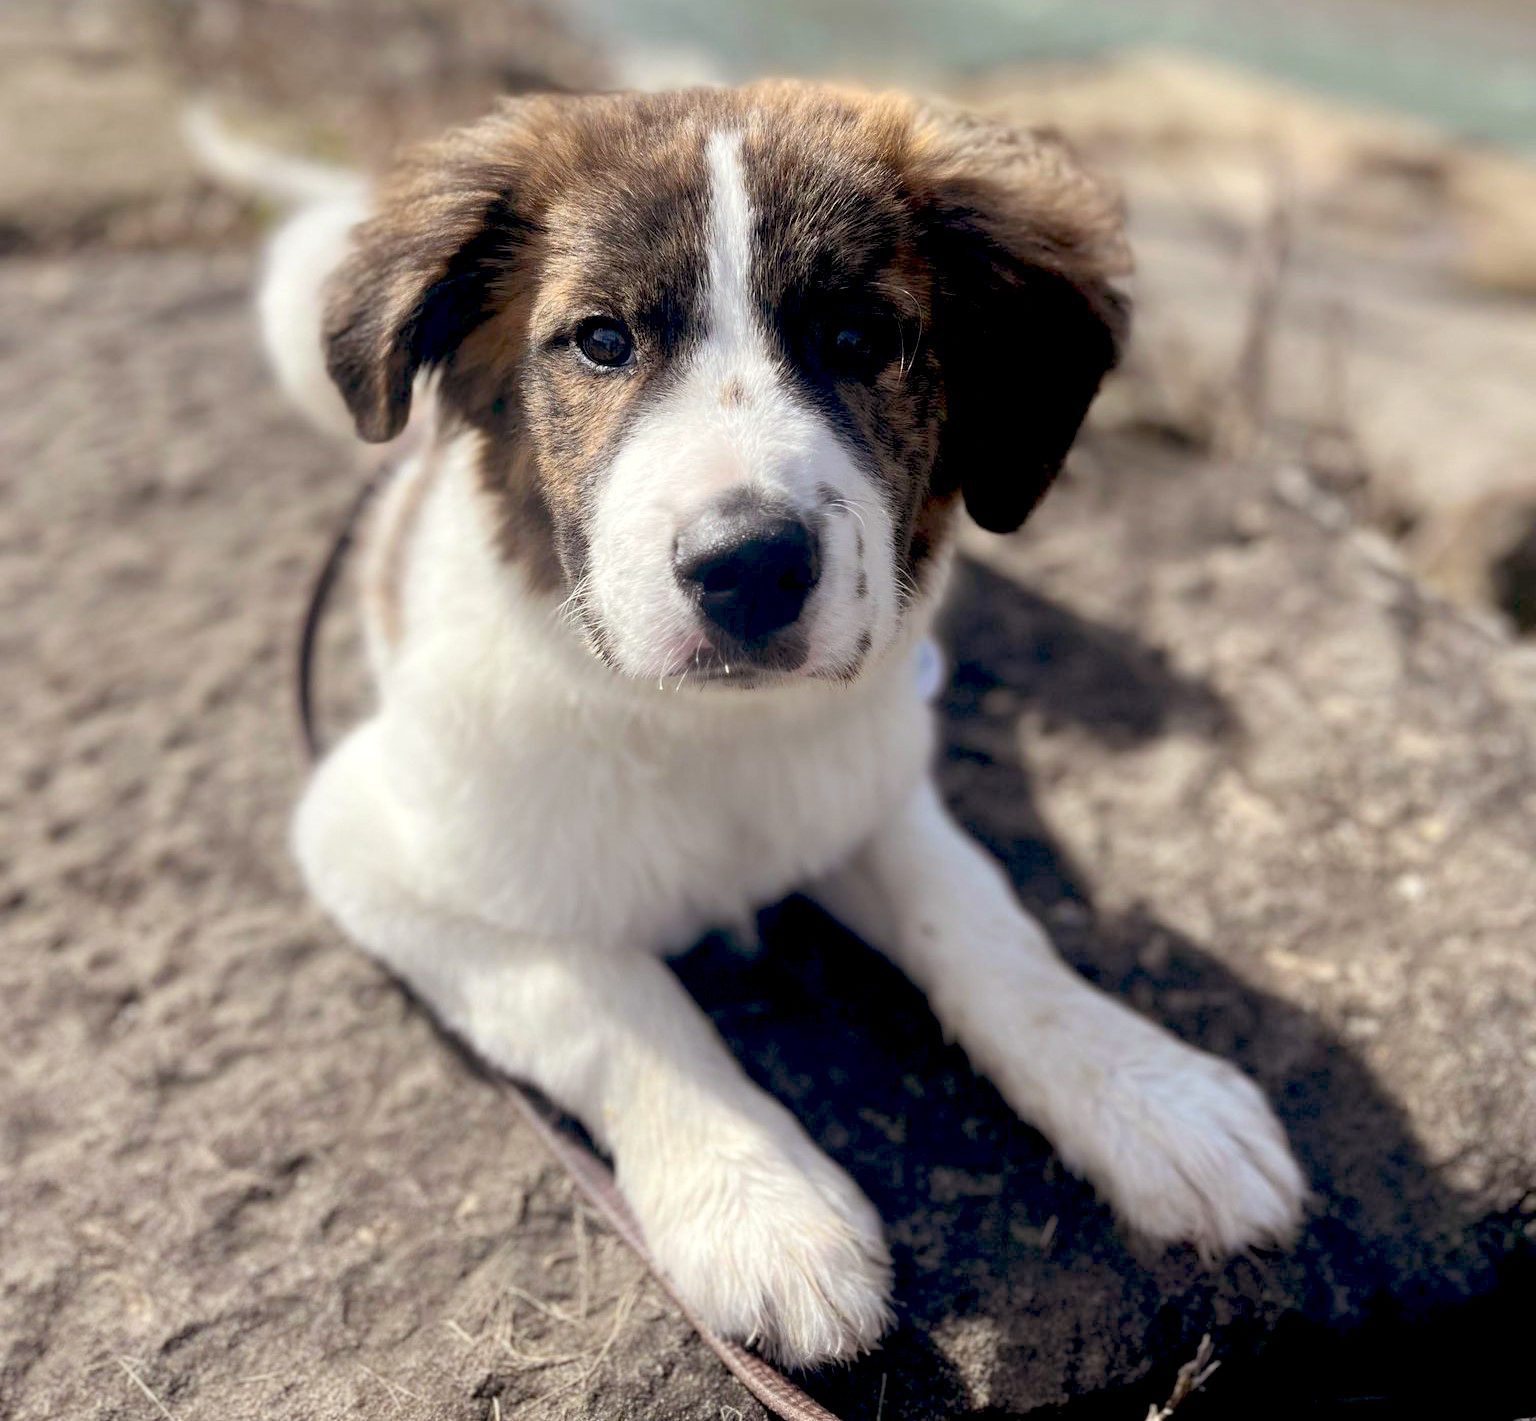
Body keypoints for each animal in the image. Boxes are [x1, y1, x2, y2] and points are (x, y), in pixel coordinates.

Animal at [213, 86, 1296, 1364]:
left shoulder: (870, 789)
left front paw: (1146, 1088)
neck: (701, 733)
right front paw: (759, 1202)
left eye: (861, 341)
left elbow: (987, 927)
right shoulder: (373, 845)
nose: (748, 567)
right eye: (602, 340)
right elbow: (614, 1001)